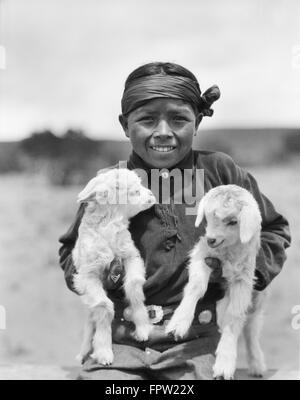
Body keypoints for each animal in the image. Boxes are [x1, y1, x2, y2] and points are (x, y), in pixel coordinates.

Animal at [72, 169, 156, 366]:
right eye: (134, 191)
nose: (152, 195)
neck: (110, 226)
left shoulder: (130, 256)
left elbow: (134, 285)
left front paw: (142, 329)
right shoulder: (88, 275)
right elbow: (104, 306)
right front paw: (104, 353)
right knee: (91, 319)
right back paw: (83, 353)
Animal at [166, 184, 268, 378]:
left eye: (233, 222)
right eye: (208, 216)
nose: (211, 239)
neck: (227, 252)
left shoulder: (243, 277)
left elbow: (235, 315)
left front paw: (224, 363)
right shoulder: (203, 255)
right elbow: (196, 287)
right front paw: (179, 324)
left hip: (257, 297)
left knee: (252, 326)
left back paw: (257, 364)